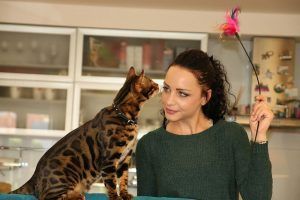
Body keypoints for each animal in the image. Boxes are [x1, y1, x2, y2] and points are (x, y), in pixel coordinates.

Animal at [9, 67, 159, 200]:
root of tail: (34, 177)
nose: (158, 84)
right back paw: (76, 196)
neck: (125, 117)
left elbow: (123, 180)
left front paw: (125, 195)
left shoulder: (125, 159)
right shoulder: (110, 160)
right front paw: (115, 198)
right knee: (47, 197)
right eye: (152, 82)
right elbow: (111, 183)